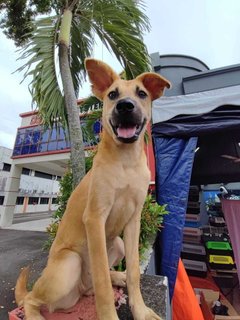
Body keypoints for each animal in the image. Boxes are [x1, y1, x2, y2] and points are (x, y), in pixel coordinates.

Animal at [15, 58, 171, 318]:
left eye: (141, 93)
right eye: (112, 94)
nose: (125, 106)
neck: (126, 161)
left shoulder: (134, 219)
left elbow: (134, 271)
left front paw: (140, 310)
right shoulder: (95, 218)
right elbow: (102, 283)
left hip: (117, 243)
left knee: (93, 286)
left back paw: (117, 276)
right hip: (69, 265)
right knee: (31, 299)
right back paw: (34, 313)